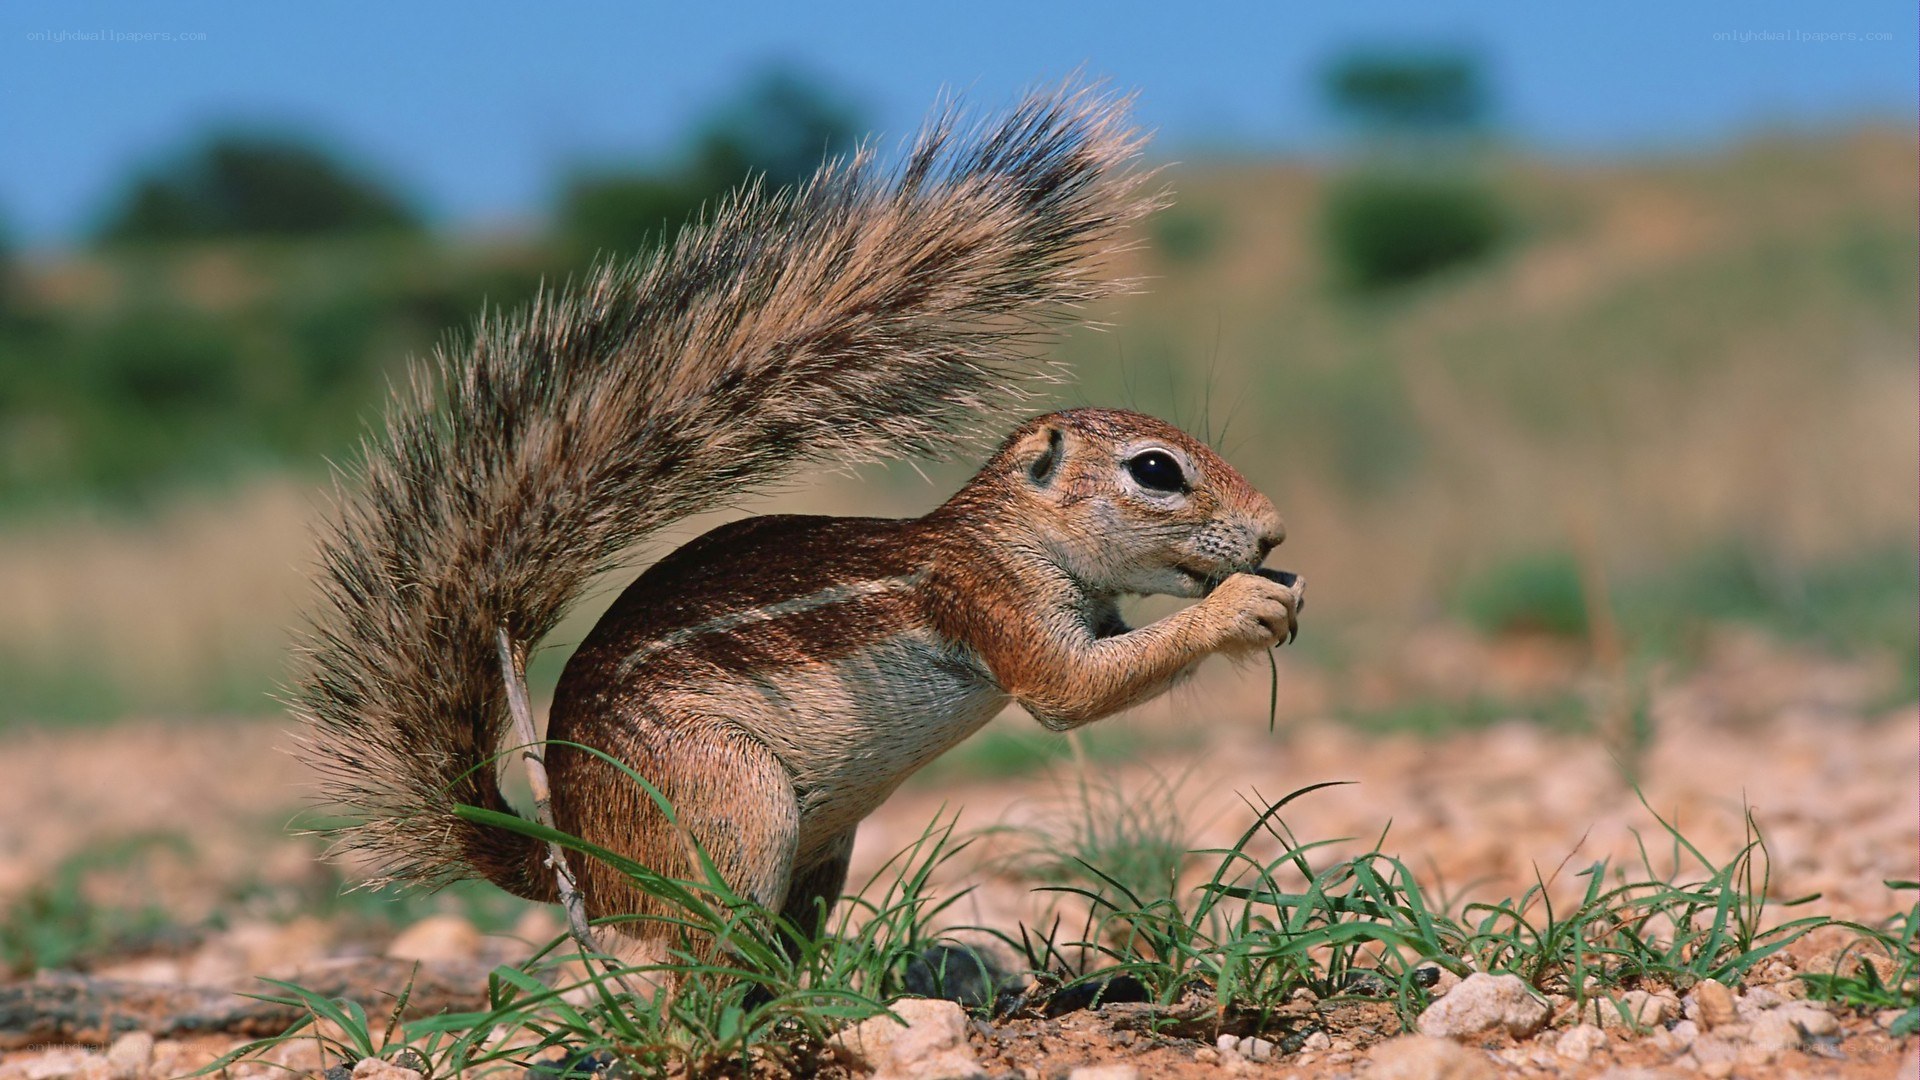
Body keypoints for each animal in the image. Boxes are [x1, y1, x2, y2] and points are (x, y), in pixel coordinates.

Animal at [294, 83, 1305, 956]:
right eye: (1156, 471)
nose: (1273, 535)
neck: (1006, 536)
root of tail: (581, 860)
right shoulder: (986, 598)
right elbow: (1072, 692)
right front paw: (1244, 608)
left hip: (821, 850)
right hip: (728, 802)